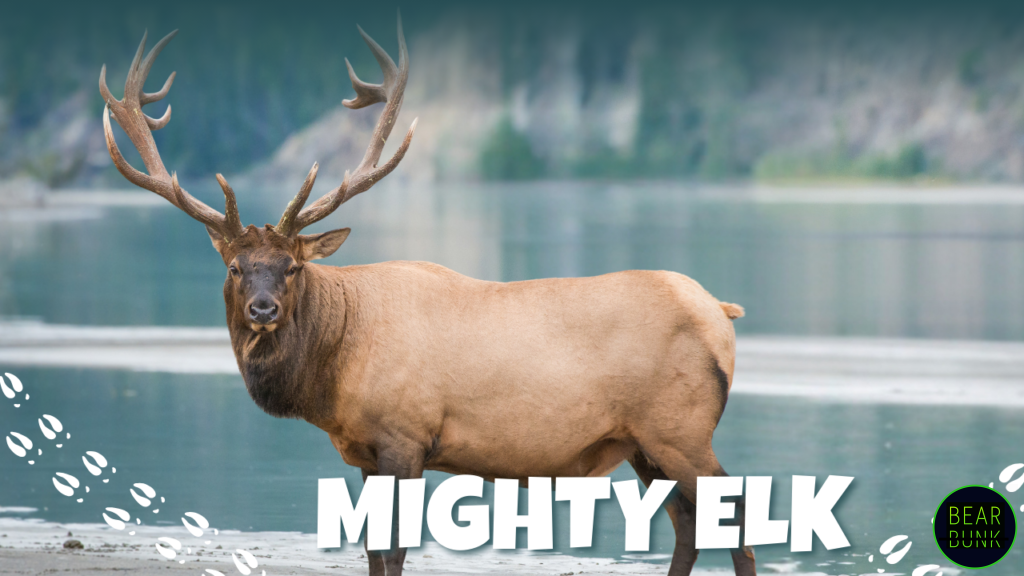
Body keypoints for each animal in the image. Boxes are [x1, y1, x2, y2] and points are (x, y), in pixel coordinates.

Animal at [98, 16, 756, 576]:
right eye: (236, 267)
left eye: (292, 267)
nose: (264, 309)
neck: (333, 372)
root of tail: (722, 311)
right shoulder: (363, 451)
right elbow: (370, 550)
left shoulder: (405, 436)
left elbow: (394, 550)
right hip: (645, 443)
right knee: (688, 523)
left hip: (680, 428)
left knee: (734, 511)